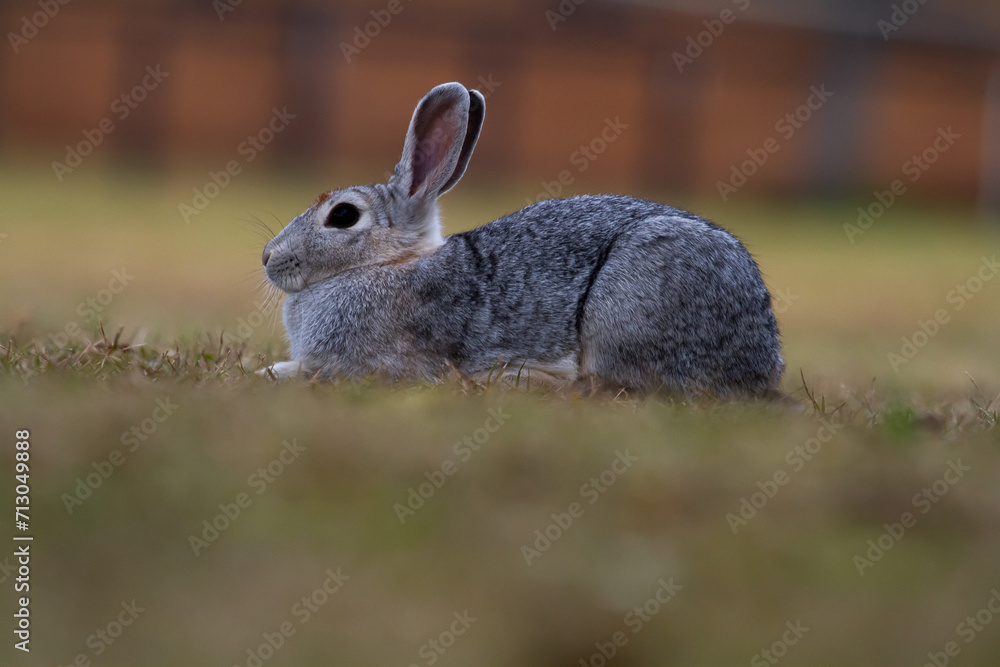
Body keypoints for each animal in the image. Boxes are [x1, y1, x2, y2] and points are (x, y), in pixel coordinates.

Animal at [260, 82, 784, 397]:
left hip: (628, 302)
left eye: (343, 216)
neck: (388, 265)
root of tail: (761, 357)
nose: (268, 257)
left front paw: (273, 374)